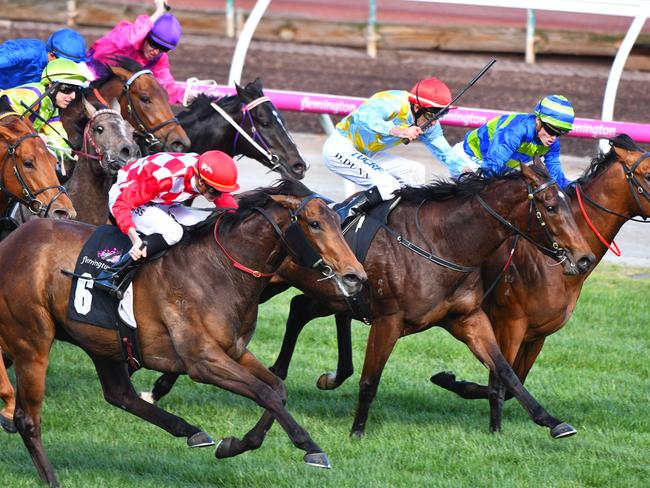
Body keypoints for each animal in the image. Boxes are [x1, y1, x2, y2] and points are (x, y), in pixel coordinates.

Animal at [0, 180, 364, 488]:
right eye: (315, 224)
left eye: (338, 221)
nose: (356, 275)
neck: (220, 270)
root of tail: (10, 242)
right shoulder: (203, 361)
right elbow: (265, 393)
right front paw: (311, 447)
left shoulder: (234, 351)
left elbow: (277, 388)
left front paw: (235, 444)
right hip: (32, 340)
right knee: (28, 418)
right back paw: (51, 477)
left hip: (99, 341)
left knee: (120, 395)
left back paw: (190, 430)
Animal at [426, 133, 648, 430]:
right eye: (648, 174)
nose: (583, 260)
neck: (547, 261)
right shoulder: (510, 325)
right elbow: (502, 381)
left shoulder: (537, 335)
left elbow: (511, 383)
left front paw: (455, 382)